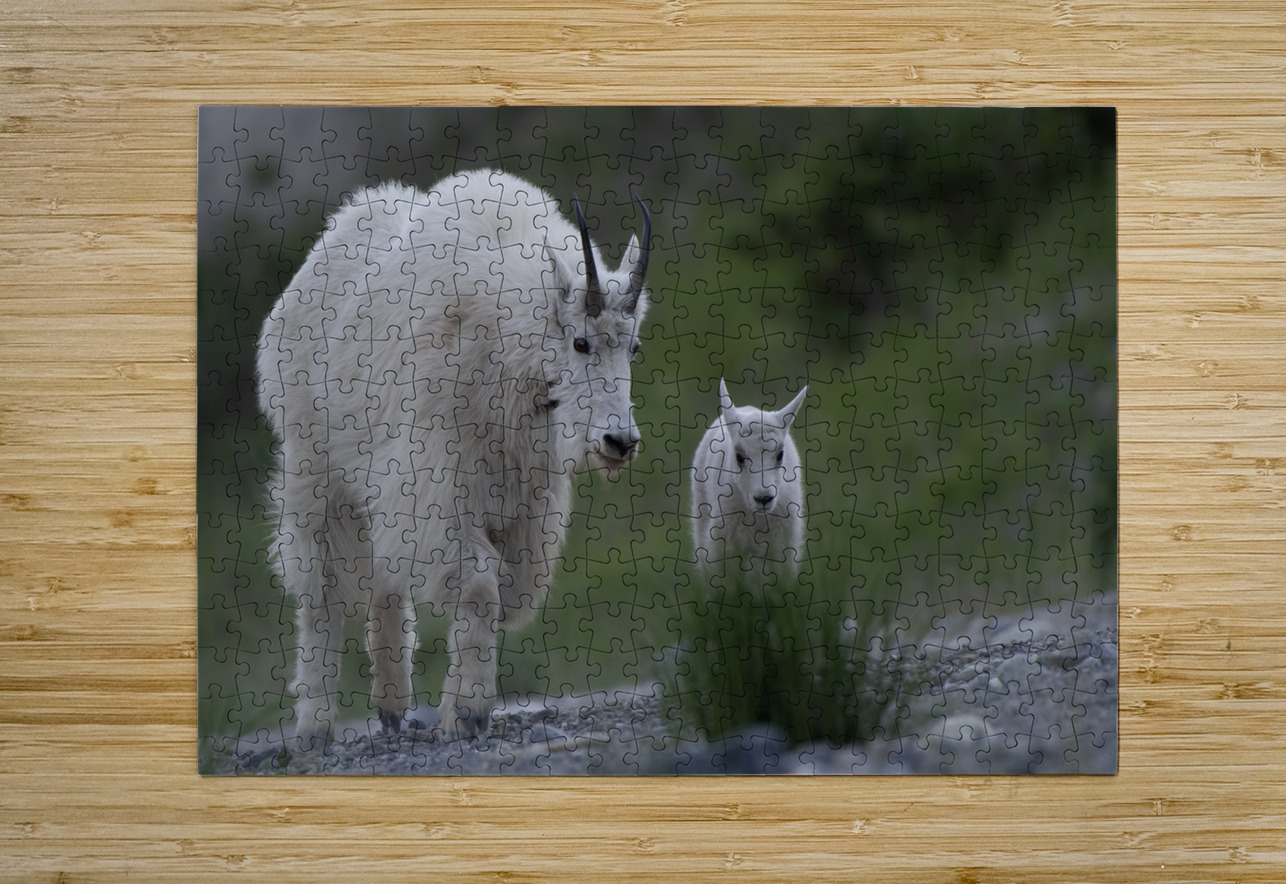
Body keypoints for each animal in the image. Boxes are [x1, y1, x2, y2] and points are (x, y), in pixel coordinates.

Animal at [256, 170, 651, 743]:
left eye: (634, 348)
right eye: (580, 342)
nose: (620, 442)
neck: (510, 347)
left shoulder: (527, 500)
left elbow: (506, 593)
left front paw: (460, 706)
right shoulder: (438, 484)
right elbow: (481, 586)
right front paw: (468, 712)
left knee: (383, 576)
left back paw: (391, 704)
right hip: (315, 465)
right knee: (321, 587)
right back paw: (316, 725)